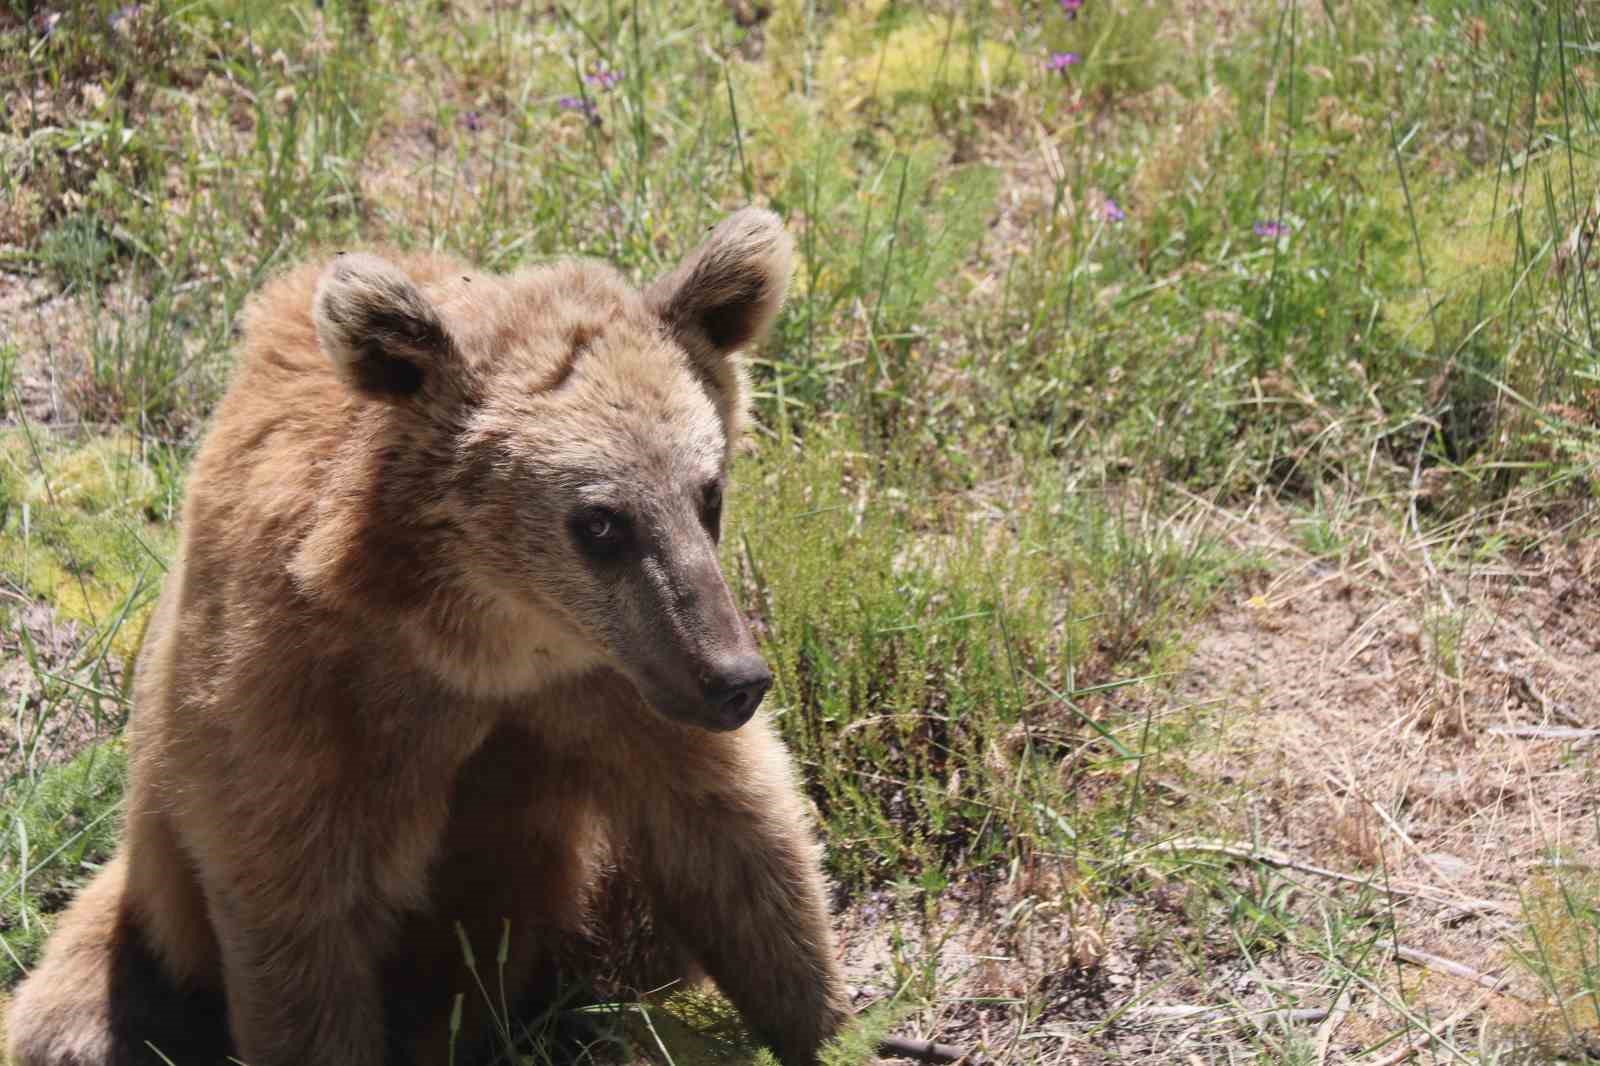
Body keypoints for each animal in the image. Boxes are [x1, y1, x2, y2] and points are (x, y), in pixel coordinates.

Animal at [9, 208, 851, 1062]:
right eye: (601, 521)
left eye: (709, 493)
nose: (736, 679)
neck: (484, 639)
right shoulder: (301, 707)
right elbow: (301, 929)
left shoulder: (615, 686)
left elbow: (734, 841)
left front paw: (828, 1022)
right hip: (148, 911)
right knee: (70, 1014)